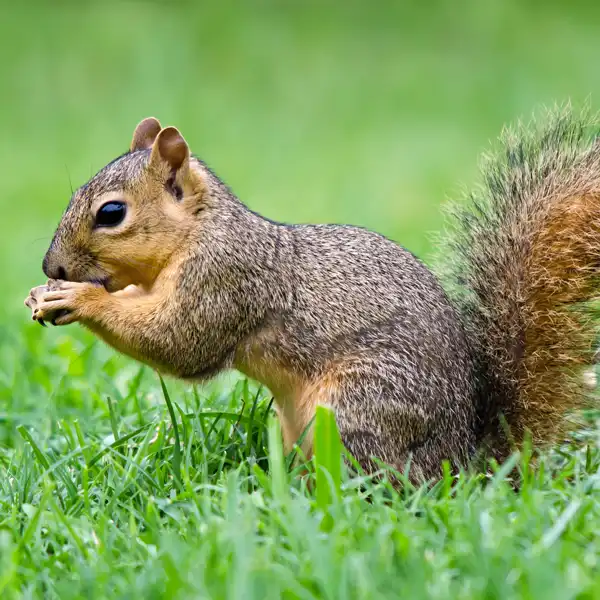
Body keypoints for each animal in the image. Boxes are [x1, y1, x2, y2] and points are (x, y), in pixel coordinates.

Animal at [23, 109, 600, 482]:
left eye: (111, 213)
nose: (52, 266)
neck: (199, 231)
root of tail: (464, 463)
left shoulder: (226, 279)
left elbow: (181, 342)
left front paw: (79, 299)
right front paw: (43, 294)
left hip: (358, 408)